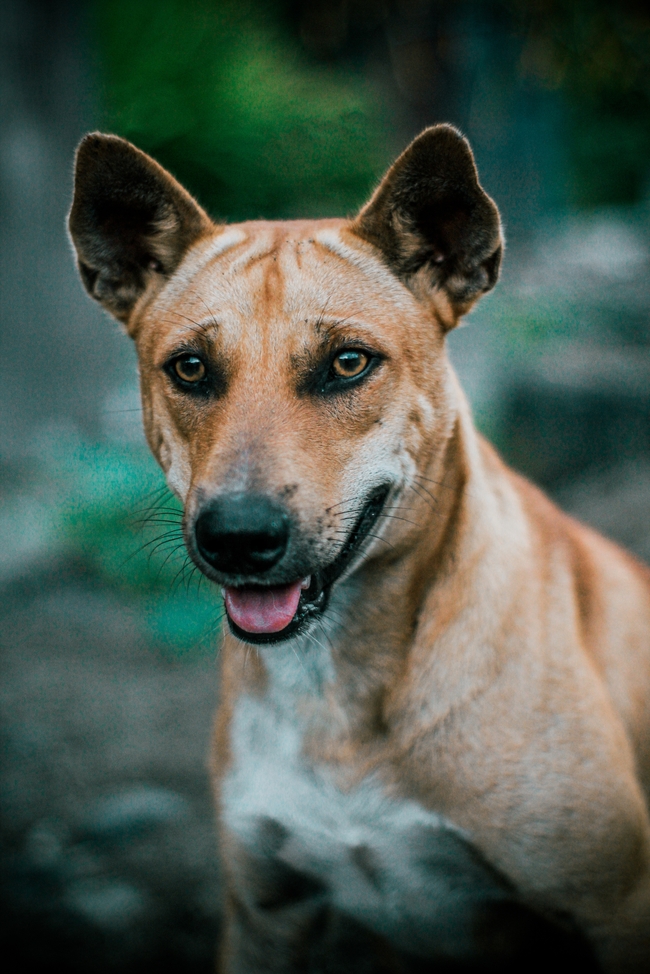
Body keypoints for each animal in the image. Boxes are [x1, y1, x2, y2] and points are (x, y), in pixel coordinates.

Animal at [69, 126, 648, 972]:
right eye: (190, 368)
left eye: (348, 362)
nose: (238, 537)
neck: (334, 688)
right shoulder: (265, 917)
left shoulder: (613, 907)